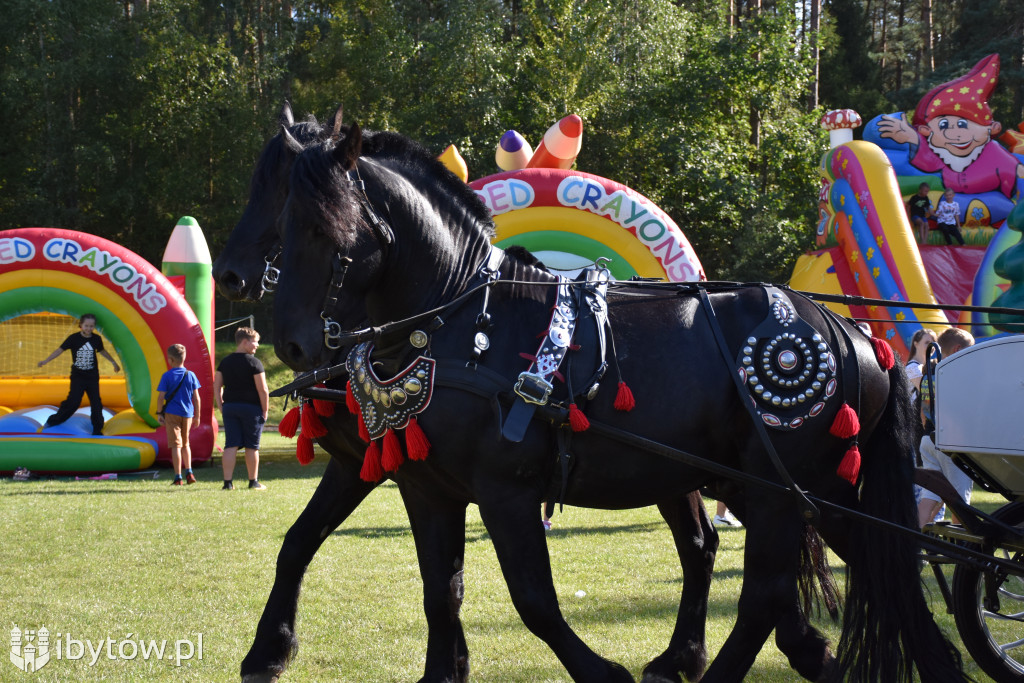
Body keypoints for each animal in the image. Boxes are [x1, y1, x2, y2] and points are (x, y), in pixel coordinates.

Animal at [218, 108, 720, 683]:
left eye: (316, 219)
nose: (229, 274)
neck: (451, 318)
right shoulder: (388, 471)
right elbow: (320, 549)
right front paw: (270, 649)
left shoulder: (495, 488)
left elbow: (527, 597)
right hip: (672, 474)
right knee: (699, 545)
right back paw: (683, 656)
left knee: (700, 545)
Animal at [270, 124, 966, 683]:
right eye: (281, 221)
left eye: (326, 227)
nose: (291, 340)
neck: (462, 316)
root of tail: (852, 334)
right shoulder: (422, 483)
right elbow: (432, 586)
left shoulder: (502, 487)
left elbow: (532, 598)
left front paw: (602, 672)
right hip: (807, 489)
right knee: (870, 564)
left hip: (780, 487)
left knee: (766, 592)